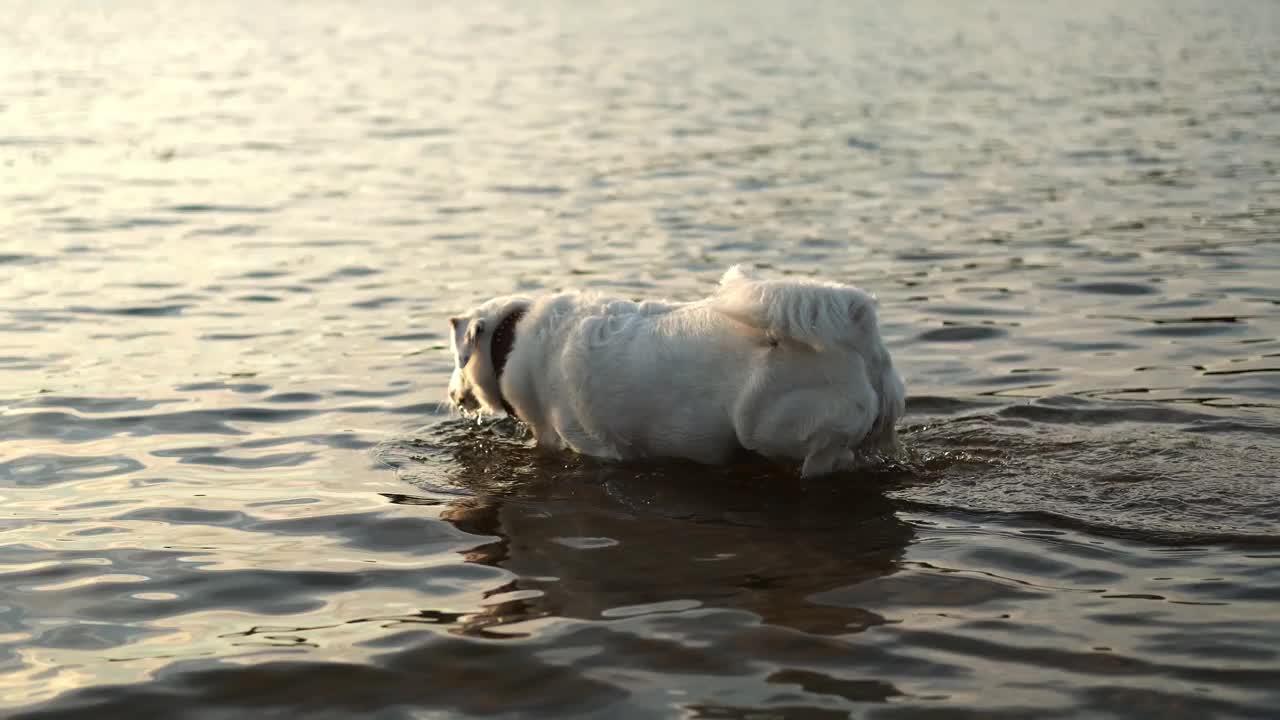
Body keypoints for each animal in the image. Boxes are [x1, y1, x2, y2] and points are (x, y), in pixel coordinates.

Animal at [445, 266, 906, 474]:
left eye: (456, 358)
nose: (449, 393)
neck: (511, 343)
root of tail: (858, 325)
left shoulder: (594, 447)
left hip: (772, 427)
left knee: (827, 454)